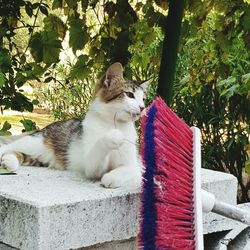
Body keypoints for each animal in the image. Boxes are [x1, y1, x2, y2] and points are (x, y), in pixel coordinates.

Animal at [0, 62, 149, 188]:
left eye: (143, 99)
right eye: (129, 95)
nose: (142, 107)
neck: (113, 123)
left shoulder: (133, 165)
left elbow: (127, 170)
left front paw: (112, 177)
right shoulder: (91, 166)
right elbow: (99, 147)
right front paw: (113, 136)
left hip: (38, 157)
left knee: (16, 152)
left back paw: (8, 161)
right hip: (35, 142)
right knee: (7, 146)